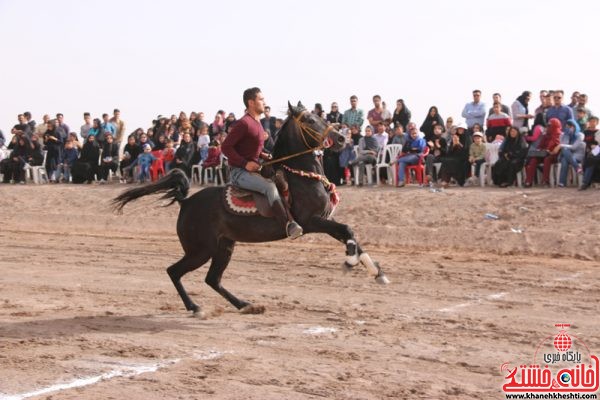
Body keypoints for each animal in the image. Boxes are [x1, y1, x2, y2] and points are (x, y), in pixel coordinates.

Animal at [113, 101, 390, 318]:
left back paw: (245, 305)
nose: (343, 139)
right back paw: (195, 307)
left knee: (212, 279)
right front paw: (350, 262)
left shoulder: (324, 220)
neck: (301, 176)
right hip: (201, 250)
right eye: (311, 119)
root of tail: (187, 201)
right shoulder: (311, 222)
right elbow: (348, 229)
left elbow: (350, 235)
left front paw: (376, 272)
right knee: (174, 271)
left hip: (223, 247)